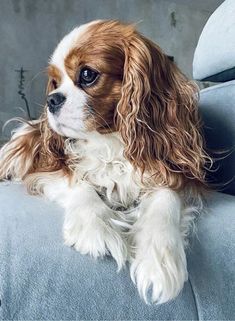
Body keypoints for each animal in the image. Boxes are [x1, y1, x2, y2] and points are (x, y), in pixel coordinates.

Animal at [0, 19, 209, 302]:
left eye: (87, 74)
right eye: (54, 82)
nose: (51, 100)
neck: (111, 143)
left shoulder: (173, 173)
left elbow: (166, 198)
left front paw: (158, 258)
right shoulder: (48, 171)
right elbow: (81, 184)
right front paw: (95, 229)